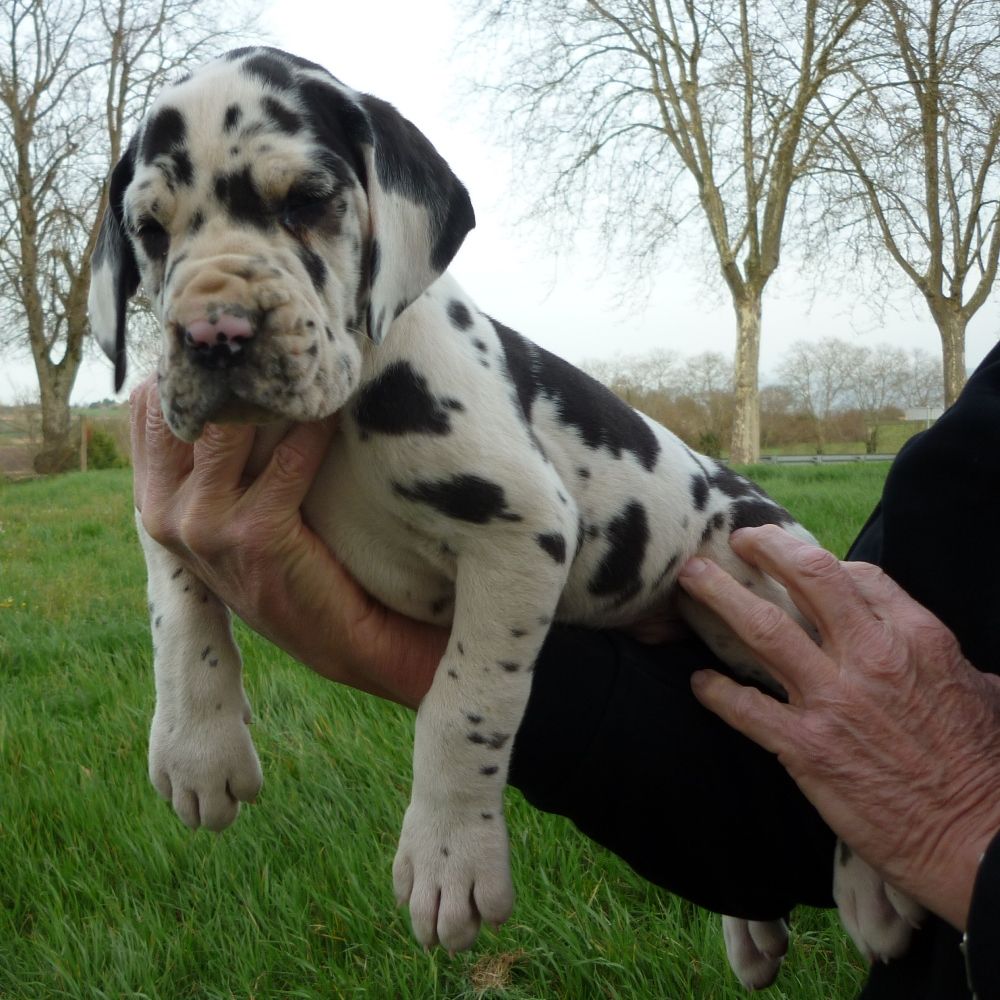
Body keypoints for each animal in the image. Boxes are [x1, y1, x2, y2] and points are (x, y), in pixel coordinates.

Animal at [92, 47, 920, 992]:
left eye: (307, 199)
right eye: (150, 230)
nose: (213, 333)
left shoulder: (521, 528)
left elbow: (465, 704)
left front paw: (450, 856)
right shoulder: (169, 493)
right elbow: (179, 612)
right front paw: (198, 749)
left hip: (751, 592)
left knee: (834, 730)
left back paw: (874, 883)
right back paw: (752, 925)